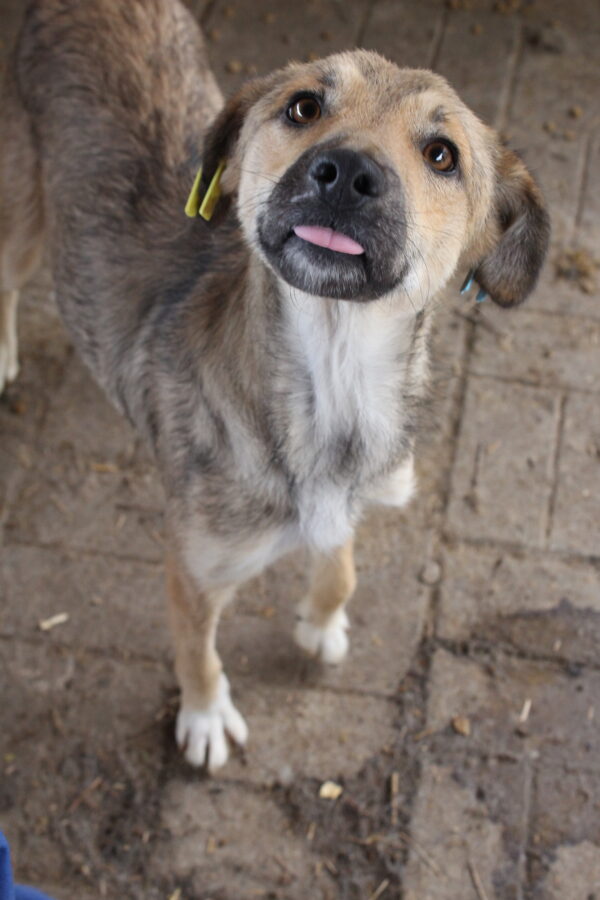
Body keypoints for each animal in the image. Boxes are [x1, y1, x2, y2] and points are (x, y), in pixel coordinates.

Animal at [0, 0, 548, 772]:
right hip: (23, 217)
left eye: (443, 154)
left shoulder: (349, 500)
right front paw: (204, 717)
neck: (333, 379)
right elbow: (198, 654)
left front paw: (321, 622)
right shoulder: (192, 569)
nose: (345, 173)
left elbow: (340, 564)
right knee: (6, 279)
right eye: (304, 106)